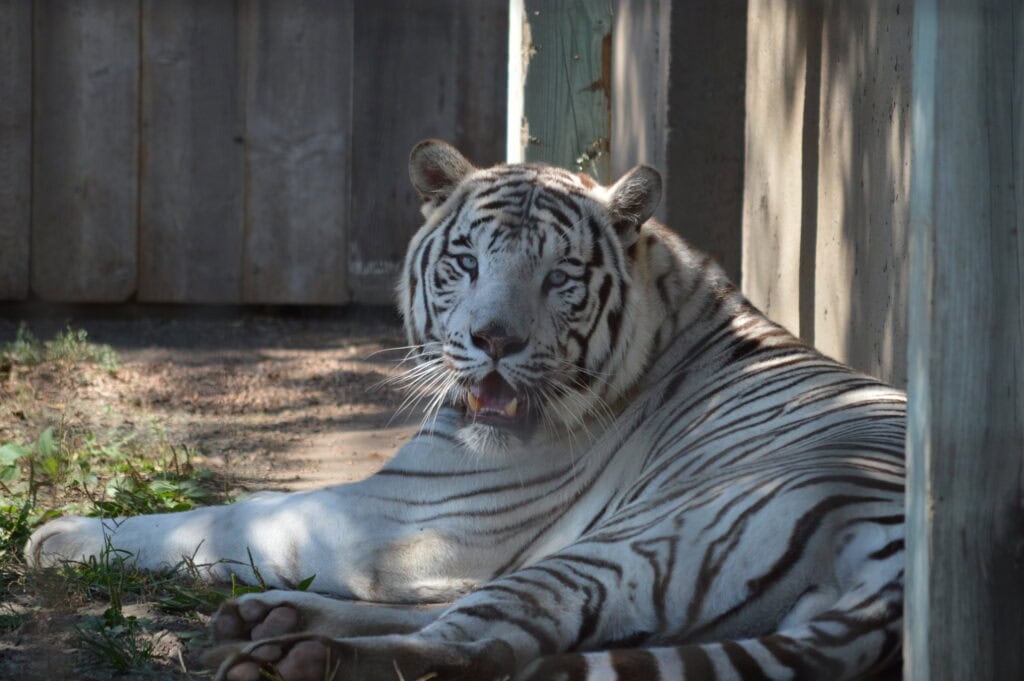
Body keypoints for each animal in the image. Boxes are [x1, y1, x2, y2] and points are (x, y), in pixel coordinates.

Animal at [26, 139, 906, 681]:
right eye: (467, 262)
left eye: (560, 277)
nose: (494, 339)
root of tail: (894, 582)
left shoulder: (406, 511)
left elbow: (234, 515)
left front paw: (60, 534)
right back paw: (269, 621)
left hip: (629, 544)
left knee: (476, 645)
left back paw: (288, 653)